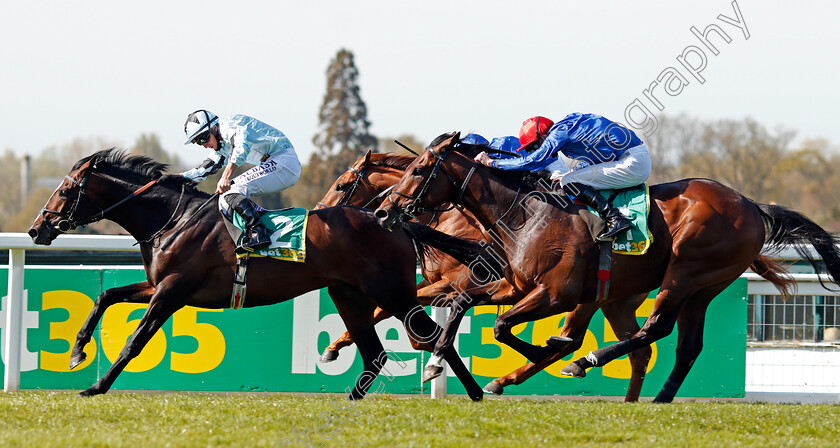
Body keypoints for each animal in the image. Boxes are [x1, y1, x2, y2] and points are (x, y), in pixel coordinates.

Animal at [29, 149, 488, 400]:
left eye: (66, 190)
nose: (37, 229)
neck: (172, 218)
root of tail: (391, 221)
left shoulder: (172, 290)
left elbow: (134, 341)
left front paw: (96, 386)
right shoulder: (159, 286)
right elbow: (105, 296)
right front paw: (77, 352)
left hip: (392, 292)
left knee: (432, 337)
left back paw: (475, 390)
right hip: (348, 294)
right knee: (375, 352)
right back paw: (351, 397)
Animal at [316, 150, 648, 400]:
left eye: (342, 185)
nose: (320, 212)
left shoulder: (454, 281)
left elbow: (388, 309)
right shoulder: (436, 282)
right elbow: (386, 309)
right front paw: (336, 346)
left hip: (580, 297)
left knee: (574, 339)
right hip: (613, 301)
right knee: (638, 350)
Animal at [378, 132, 840, 402]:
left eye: (420, 169)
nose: (384, 212)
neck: (526, 213)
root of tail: (751, 206)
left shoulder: (556, 293)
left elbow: (502, 326)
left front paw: (545, 352)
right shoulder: (515, 284)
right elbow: (461, 304)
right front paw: (436, 362)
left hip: (686, 271)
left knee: (654, 330)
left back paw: (586, 361)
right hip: (696, 289)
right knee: (681, 346)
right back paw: (654, 400)